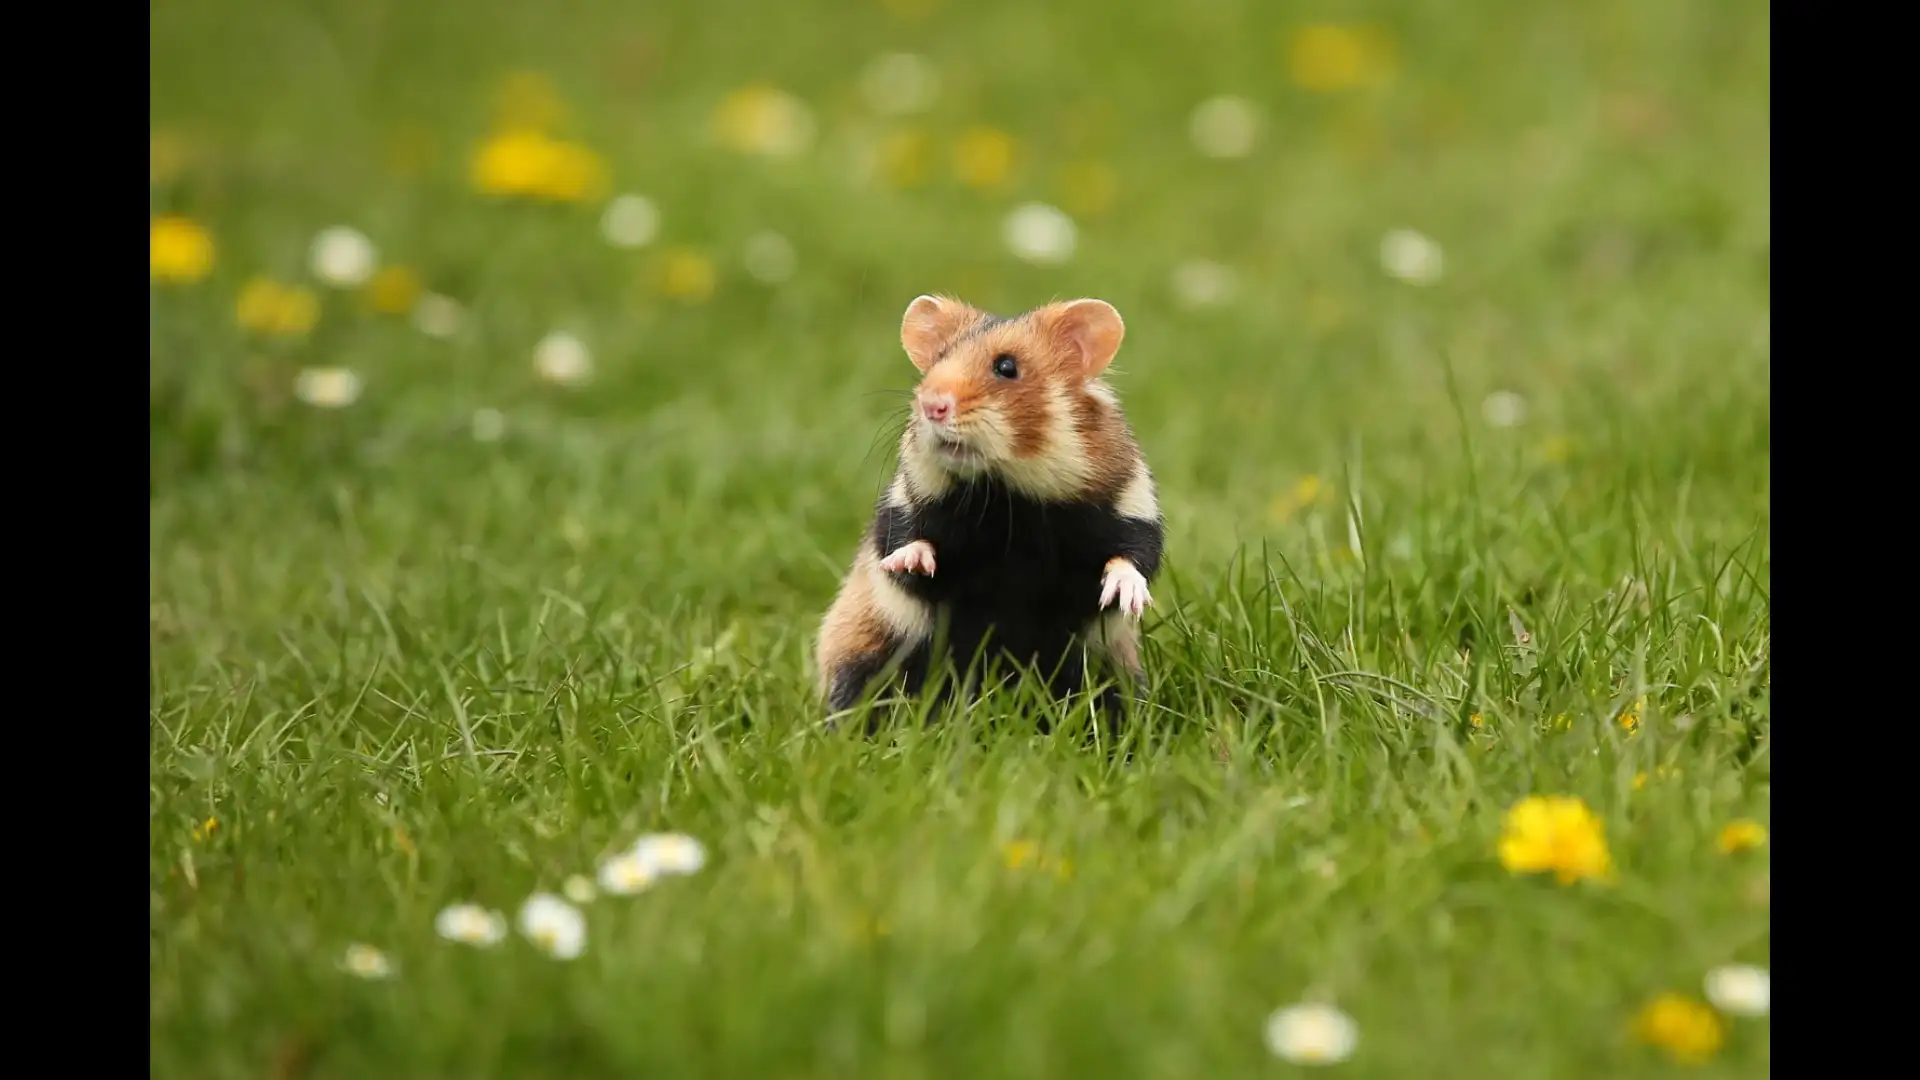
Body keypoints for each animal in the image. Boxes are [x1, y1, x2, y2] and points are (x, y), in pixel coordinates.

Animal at [815, 293, 1165, 730]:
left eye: (1006, 367)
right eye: (938, 360)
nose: (931, 405)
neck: (1007, 496)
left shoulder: (1131, 505)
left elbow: (1134, 557)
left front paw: (1127, 596)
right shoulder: (905, 503)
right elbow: (903, 539)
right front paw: (911, 561)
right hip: (865, 652)